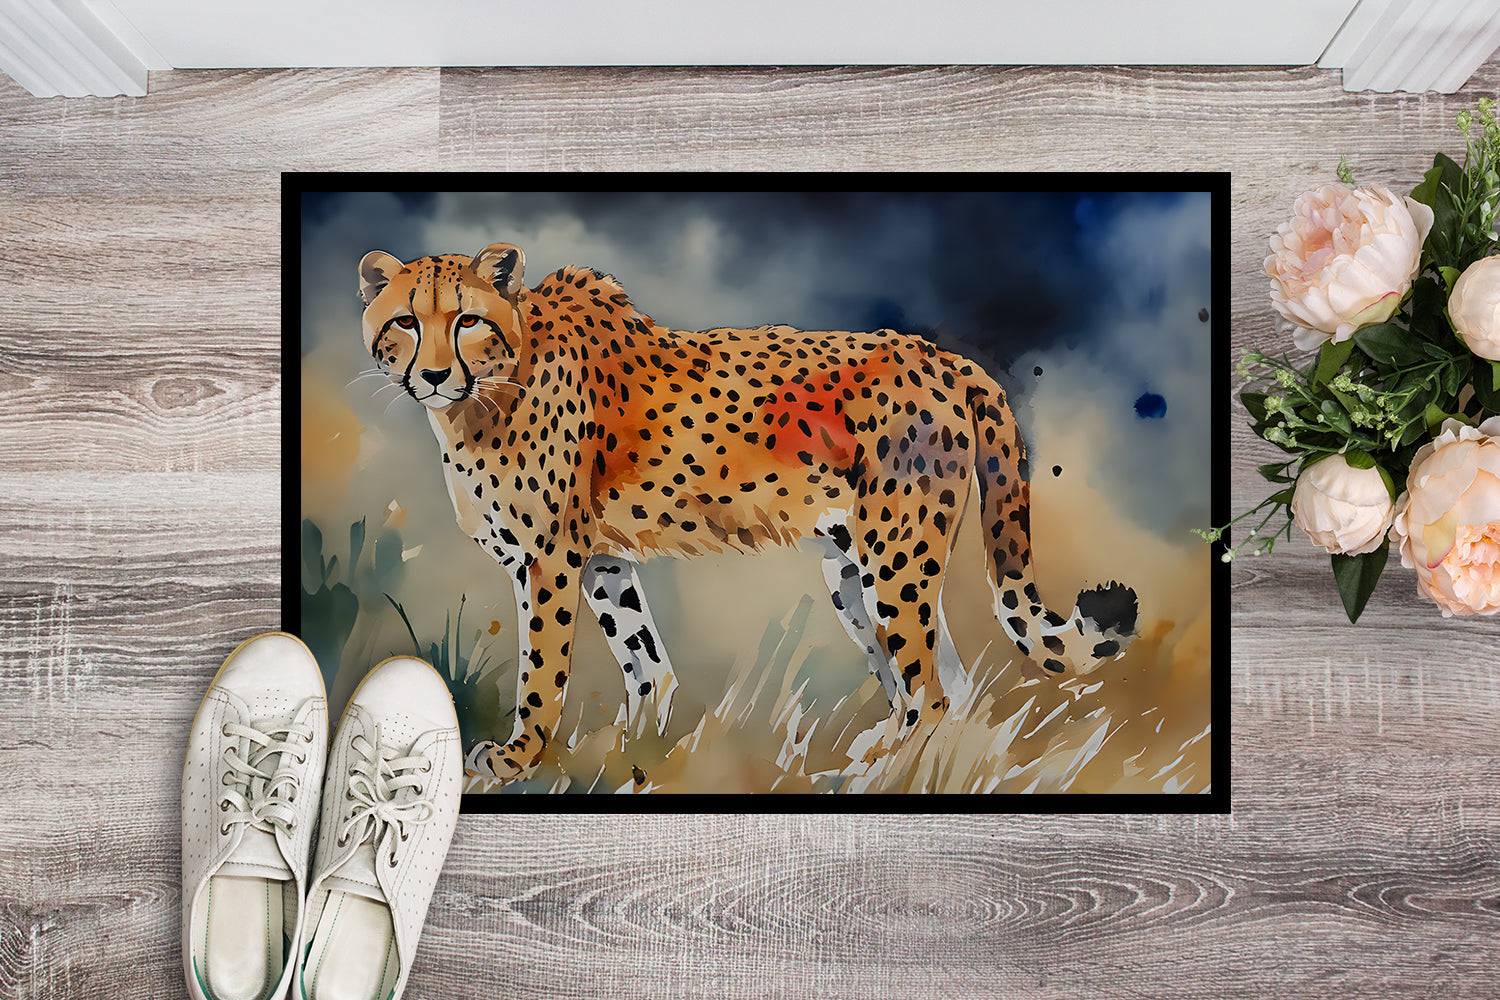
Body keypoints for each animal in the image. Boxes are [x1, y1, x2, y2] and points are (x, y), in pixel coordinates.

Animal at [355, 242, 1138, 781]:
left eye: (467, 320)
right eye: (405, 322)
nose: (431, 375)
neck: (483, 395)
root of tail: (941, 354)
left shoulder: (549, 559)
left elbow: (542, 670)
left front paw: (520, 756)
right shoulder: (602, 560)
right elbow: (645, 661)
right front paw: (635, 748)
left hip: (896, 559)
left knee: (930, 688)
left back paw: (879, 765)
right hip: (853, 571)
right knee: (949, 681)